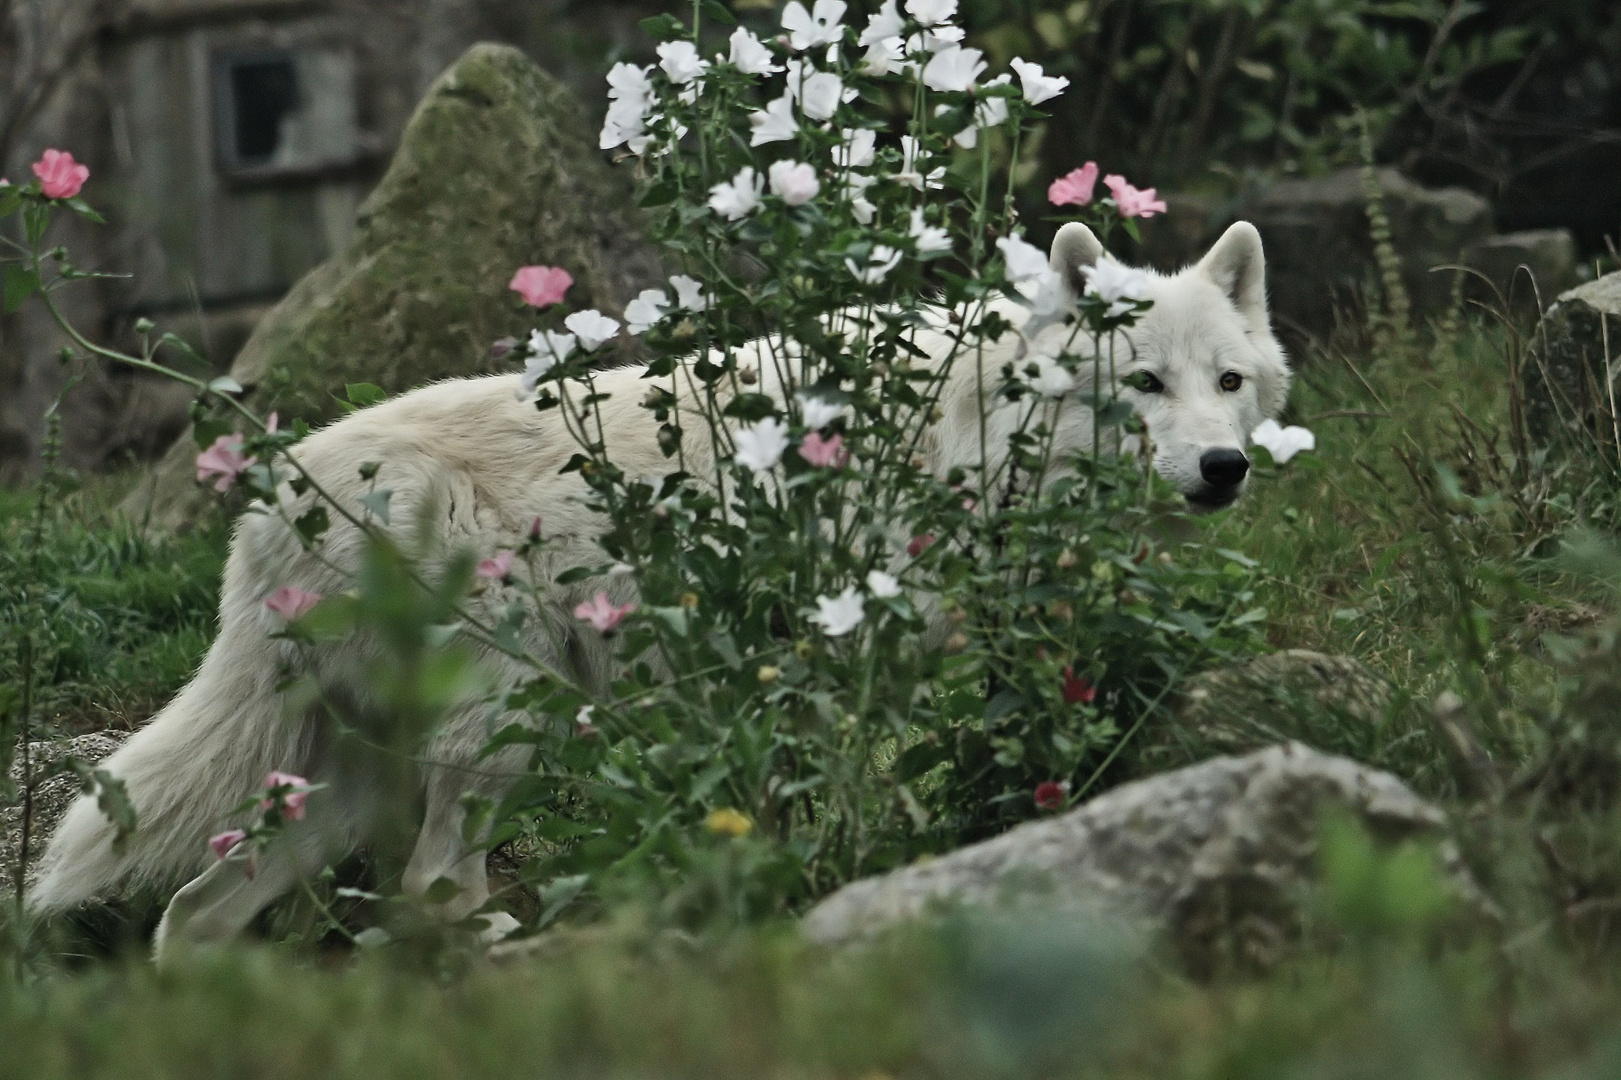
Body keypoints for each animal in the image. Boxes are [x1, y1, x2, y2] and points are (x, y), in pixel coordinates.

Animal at [28, 217, 1290, 953]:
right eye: (1142, 384)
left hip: (352, 785)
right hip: (507, 726)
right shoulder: (865, 656)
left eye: (1227, 382)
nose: (1222, 470)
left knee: (193, 916)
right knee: (429, 888)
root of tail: (258, 515)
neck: (976, 426)